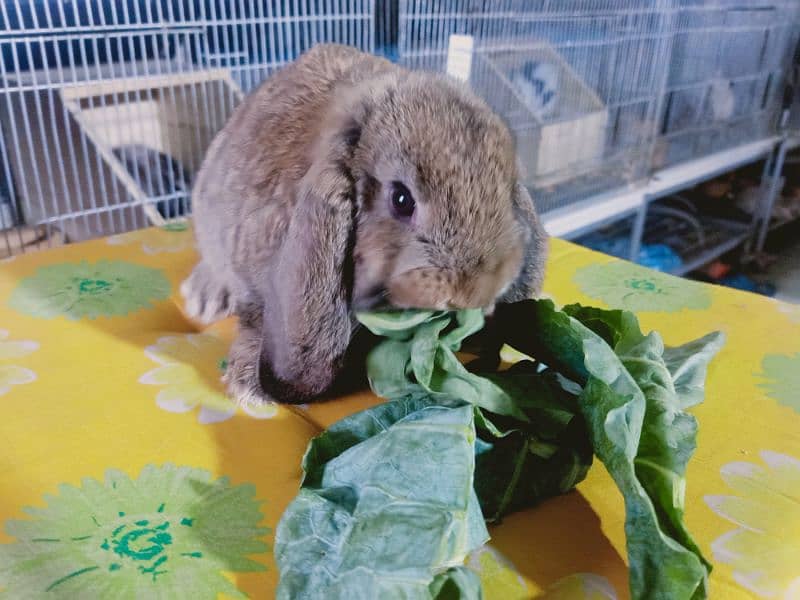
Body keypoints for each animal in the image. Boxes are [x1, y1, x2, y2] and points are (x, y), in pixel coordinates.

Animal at [180, 44, 548, 406]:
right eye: (401, 199)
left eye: (506, 190)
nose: (472, 291)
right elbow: (255, 320)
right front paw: (248, 387)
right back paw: (205, 297)